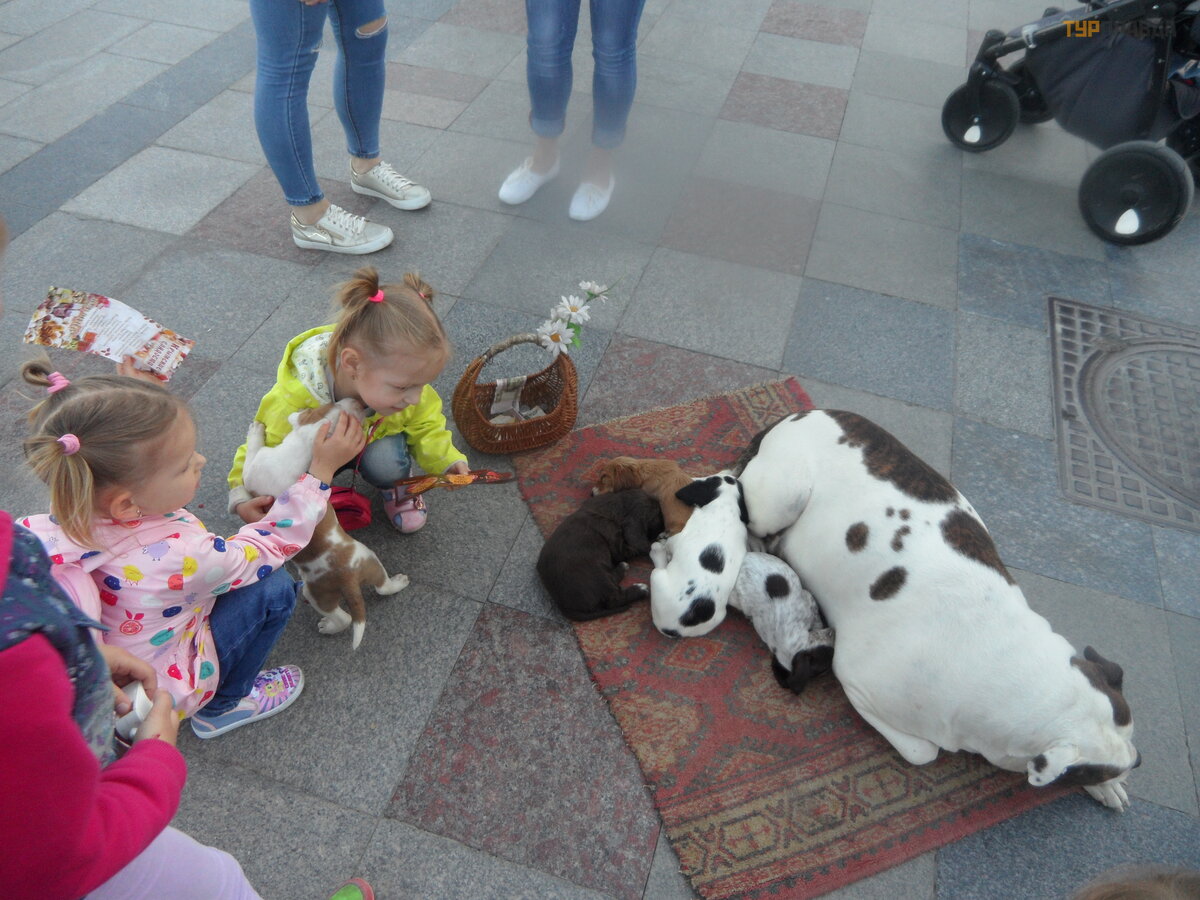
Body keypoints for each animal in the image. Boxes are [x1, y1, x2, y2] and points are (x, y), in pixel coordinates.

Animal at [242, 399, 408, 649]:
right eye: (334, 403)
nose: (357, 401)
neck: (302, 448)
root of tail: (348, 577)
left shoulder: (254, 467)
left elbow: (251, 452)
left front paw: (255, 430)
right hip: (370, 560)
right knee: (382, 587)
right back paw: (398, 582)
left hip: (317, 593)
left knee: (345, 618)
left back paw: (328, 627)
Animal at [536, 489, 664, 621]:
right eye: (658, 515)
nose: (663, 528)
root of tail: (564, 606)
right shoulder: (616, 542)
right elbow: (630, 549)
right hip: (598, 576)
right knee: (615, 599)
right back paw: (640, 588)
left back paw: (623, 568)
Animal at [649, 473, 749, 639]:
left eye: (709, 479)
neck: (727, 507)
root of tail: (675, 629)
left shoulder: (679, 538)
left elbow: (670, 543)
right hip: (720, 615)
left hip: (657, 576)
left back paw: (657, 552)